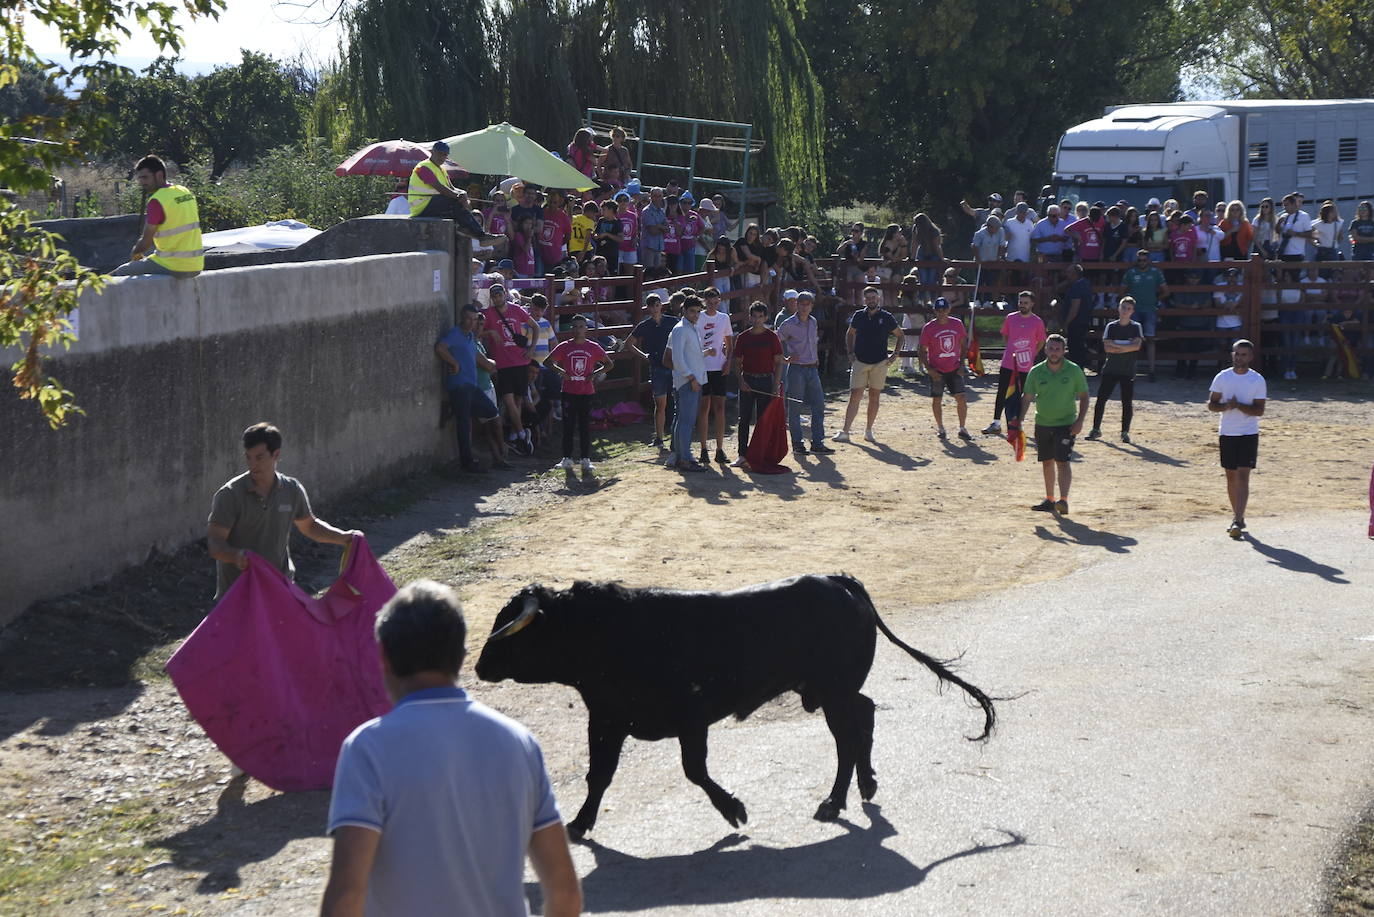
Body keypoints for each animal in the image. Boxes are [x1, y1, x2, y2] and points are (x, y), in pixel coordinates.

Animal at [478, 574, 994, 841]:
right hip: (835, 691)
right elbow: (599, 775)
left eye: (511, 629)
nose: (480, 665)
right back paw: (864, 786)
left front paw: (734, 811)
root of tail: (838, 581)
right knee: (863, 718)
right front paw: (580, 824)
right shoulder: (606, 718)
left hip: (833, 692)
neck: (603, 632)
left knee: (847, 737)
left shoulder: (688, 719)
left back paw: (833, 801)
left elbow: (694, 771)